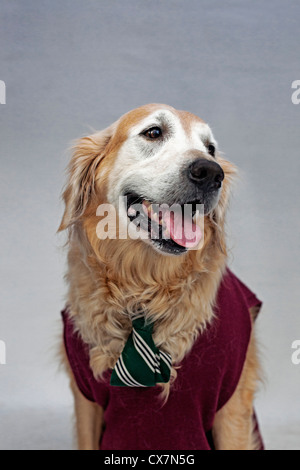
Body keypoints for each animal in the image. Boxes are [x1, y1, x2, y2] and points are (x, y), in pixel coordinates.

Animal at [58, 103, 262, 452]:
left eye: (210, 148)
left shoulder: (233, 401)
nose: (211, 173)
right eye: (154, 132)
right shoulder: (86, 399)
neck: (144, 287)